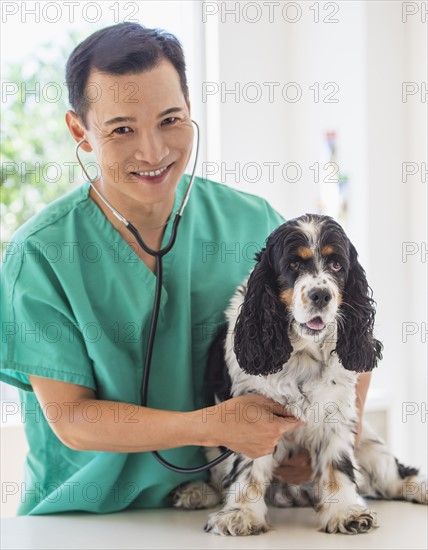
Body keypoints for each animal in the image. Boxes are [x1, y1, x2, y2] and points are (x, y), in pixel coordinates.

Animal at [171, 216, 428, 540]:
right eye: (293, 265)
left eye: (337, 265)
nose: (321, 295)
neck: (302, 352)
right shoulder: (252, 418)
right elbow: (248, 467)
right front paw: (241, 513)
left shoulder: (336, 411)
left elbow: (337, 464)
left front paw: (345, 511)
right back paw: (195, 493)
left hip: (370, 444)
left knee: (394, 474)